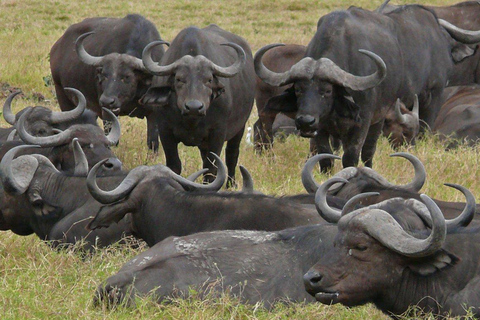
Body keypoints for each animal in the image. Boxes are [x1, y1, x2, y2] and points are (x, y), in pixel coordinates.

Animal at [141, 24, 256, 188]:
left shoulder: (217, 133)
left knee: (232, 155)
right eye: (179, 79)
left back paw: (231, 184)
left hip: (240, 128)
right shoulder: (165, 131)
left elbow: (211, 168)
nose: (194, 107)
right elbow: (174, 165)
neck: (192, 121)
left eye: (209, 79)